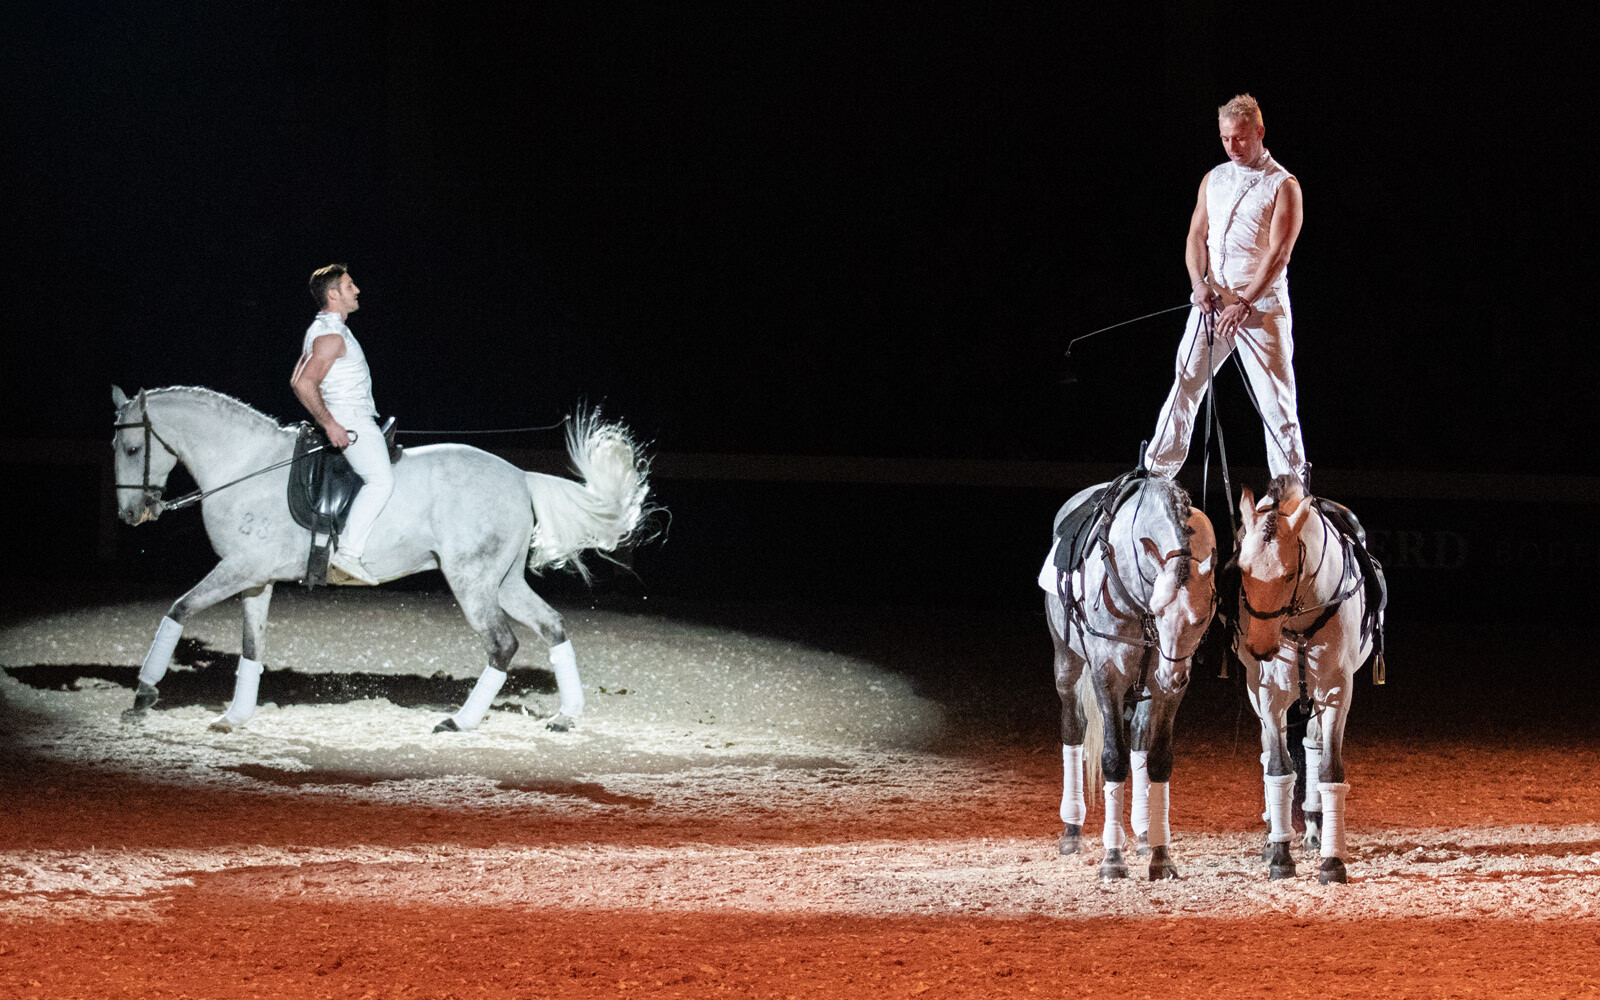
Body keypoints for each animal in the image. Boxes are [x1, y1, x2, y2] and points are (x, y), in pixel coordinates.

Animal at [110, 385, 650, 735]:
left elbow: (179, 609)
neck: (246, 466)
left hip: (472, 580)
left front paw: (143, 694)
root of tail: (519, 476)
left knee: (502, 644)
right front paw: (235, 717)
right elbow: (251, 648)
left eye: (132, 447)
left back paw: (460, 721)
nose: (131, 514)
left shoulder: (240, 569)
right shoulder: (255, 579)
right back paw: (565, 717)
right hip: (504, 581)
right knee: (553, 626)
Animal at [1040, 472, 1218, 880]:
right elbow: (1113, 759)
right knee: (1073, 728)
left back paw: (1143, 835)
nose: (1173, 676)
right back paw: (1072, 831)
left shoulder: (1168, 691)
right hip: (1067, 665)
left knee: (1138, 737)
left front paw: (1161, 856)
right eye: (1158, 607)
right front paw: (1112, 859)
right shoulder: (1107, 676)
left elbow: (1158, 760)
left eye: (1201, 617)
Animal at [1233, 475, 1381, 884]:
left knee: (1313, 746)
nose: (1259, 647)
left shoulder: (1336, 691)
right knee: (1270, 752)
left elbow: (1329, 769)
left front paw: (1333, 861)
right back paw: (1273, 834)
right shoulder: (1267, 694)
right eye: (1242, 568)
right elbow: (1279, 768)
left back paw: (1315, 828)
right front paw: (1281, 856)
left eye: (1288, 574)